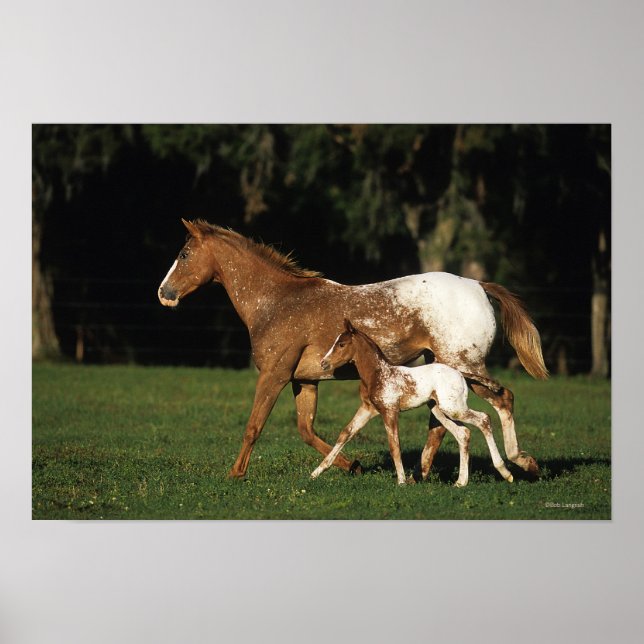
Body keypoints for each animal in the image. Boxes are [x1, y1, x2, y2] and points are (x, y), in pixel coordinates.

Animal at [311, 319, 515, 486]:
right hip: (439, 410)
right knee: (463, 433)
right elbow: (345, 434)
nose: (323, 363)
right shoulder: (368, 409)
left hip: (453, 408)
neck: (378, 374)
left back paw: (505, 472)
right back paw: (461, 482)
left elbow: (394, 445)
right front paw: (317, 472)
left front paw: (401, 481)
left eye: (341, 344)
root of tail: (459, 373)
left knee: (484, 419)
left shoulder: (390, 411)